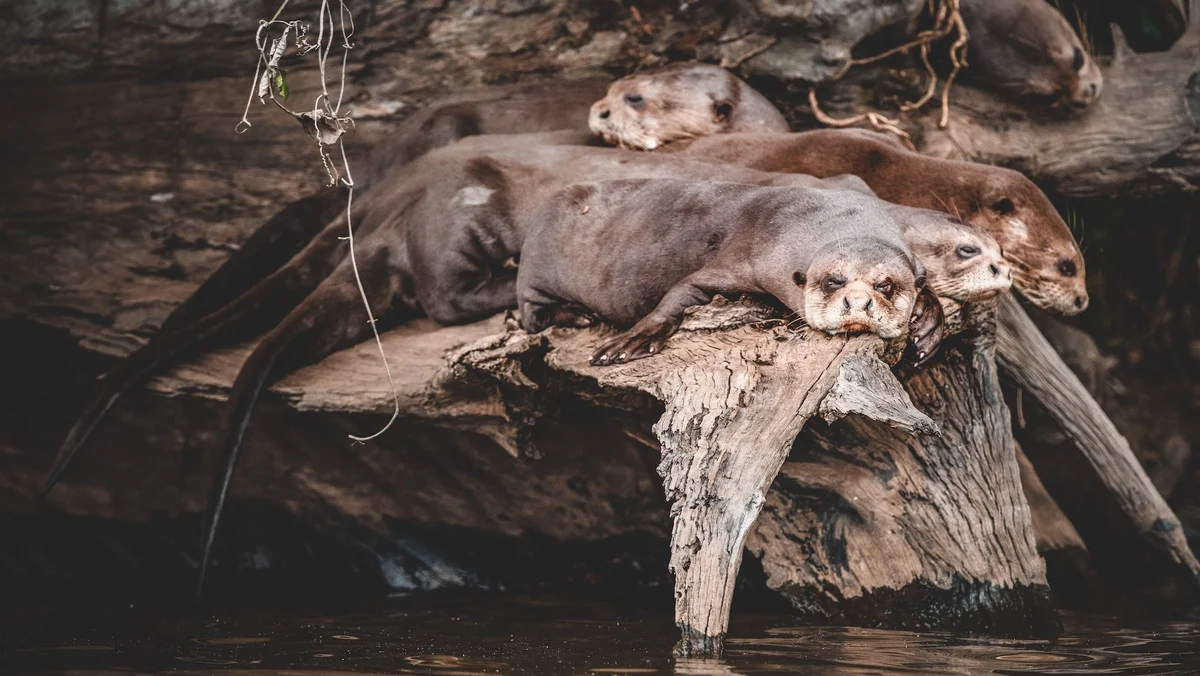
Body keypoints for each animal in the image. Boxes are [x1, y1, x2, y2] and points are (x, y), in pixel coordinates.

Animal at [516, 180, 926, 364]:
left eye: (885, 285)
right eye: (833, 281)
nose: (857, 301)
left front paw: (928, 322)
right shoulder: (745, 259)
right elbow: (681, 291)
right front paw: (633, 339)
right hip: (535, 268)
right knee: (530, 315)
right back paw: (577, 315)